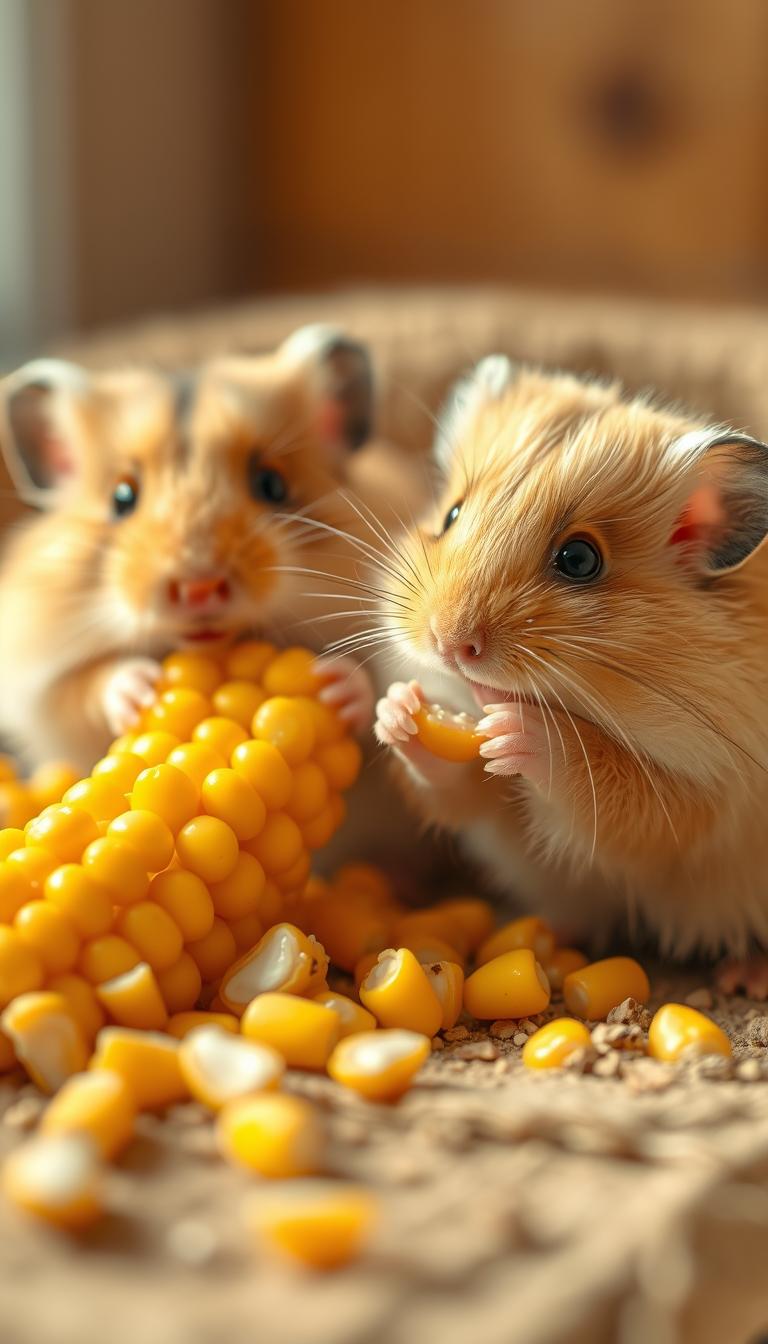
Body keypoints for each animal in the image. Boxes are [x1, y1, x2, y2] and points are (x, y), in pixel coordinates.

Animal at [0, 325, 380, 773]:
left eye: (272, 485)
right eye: (121, 498)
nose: (199, 589)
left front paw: (336, 684)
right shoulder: (40, 692)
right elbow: (88, 686)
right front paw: (142, 691)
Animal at [373, 356, 768, 991]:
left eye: (580, 560)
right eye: (451, 515)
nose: (448, 645)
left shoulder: (698, 800)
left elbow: (602, 782)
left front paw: (522, 730)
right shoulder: (495, 809)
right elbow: (458, 785)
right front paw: (398, 711)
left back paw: (744, 977)